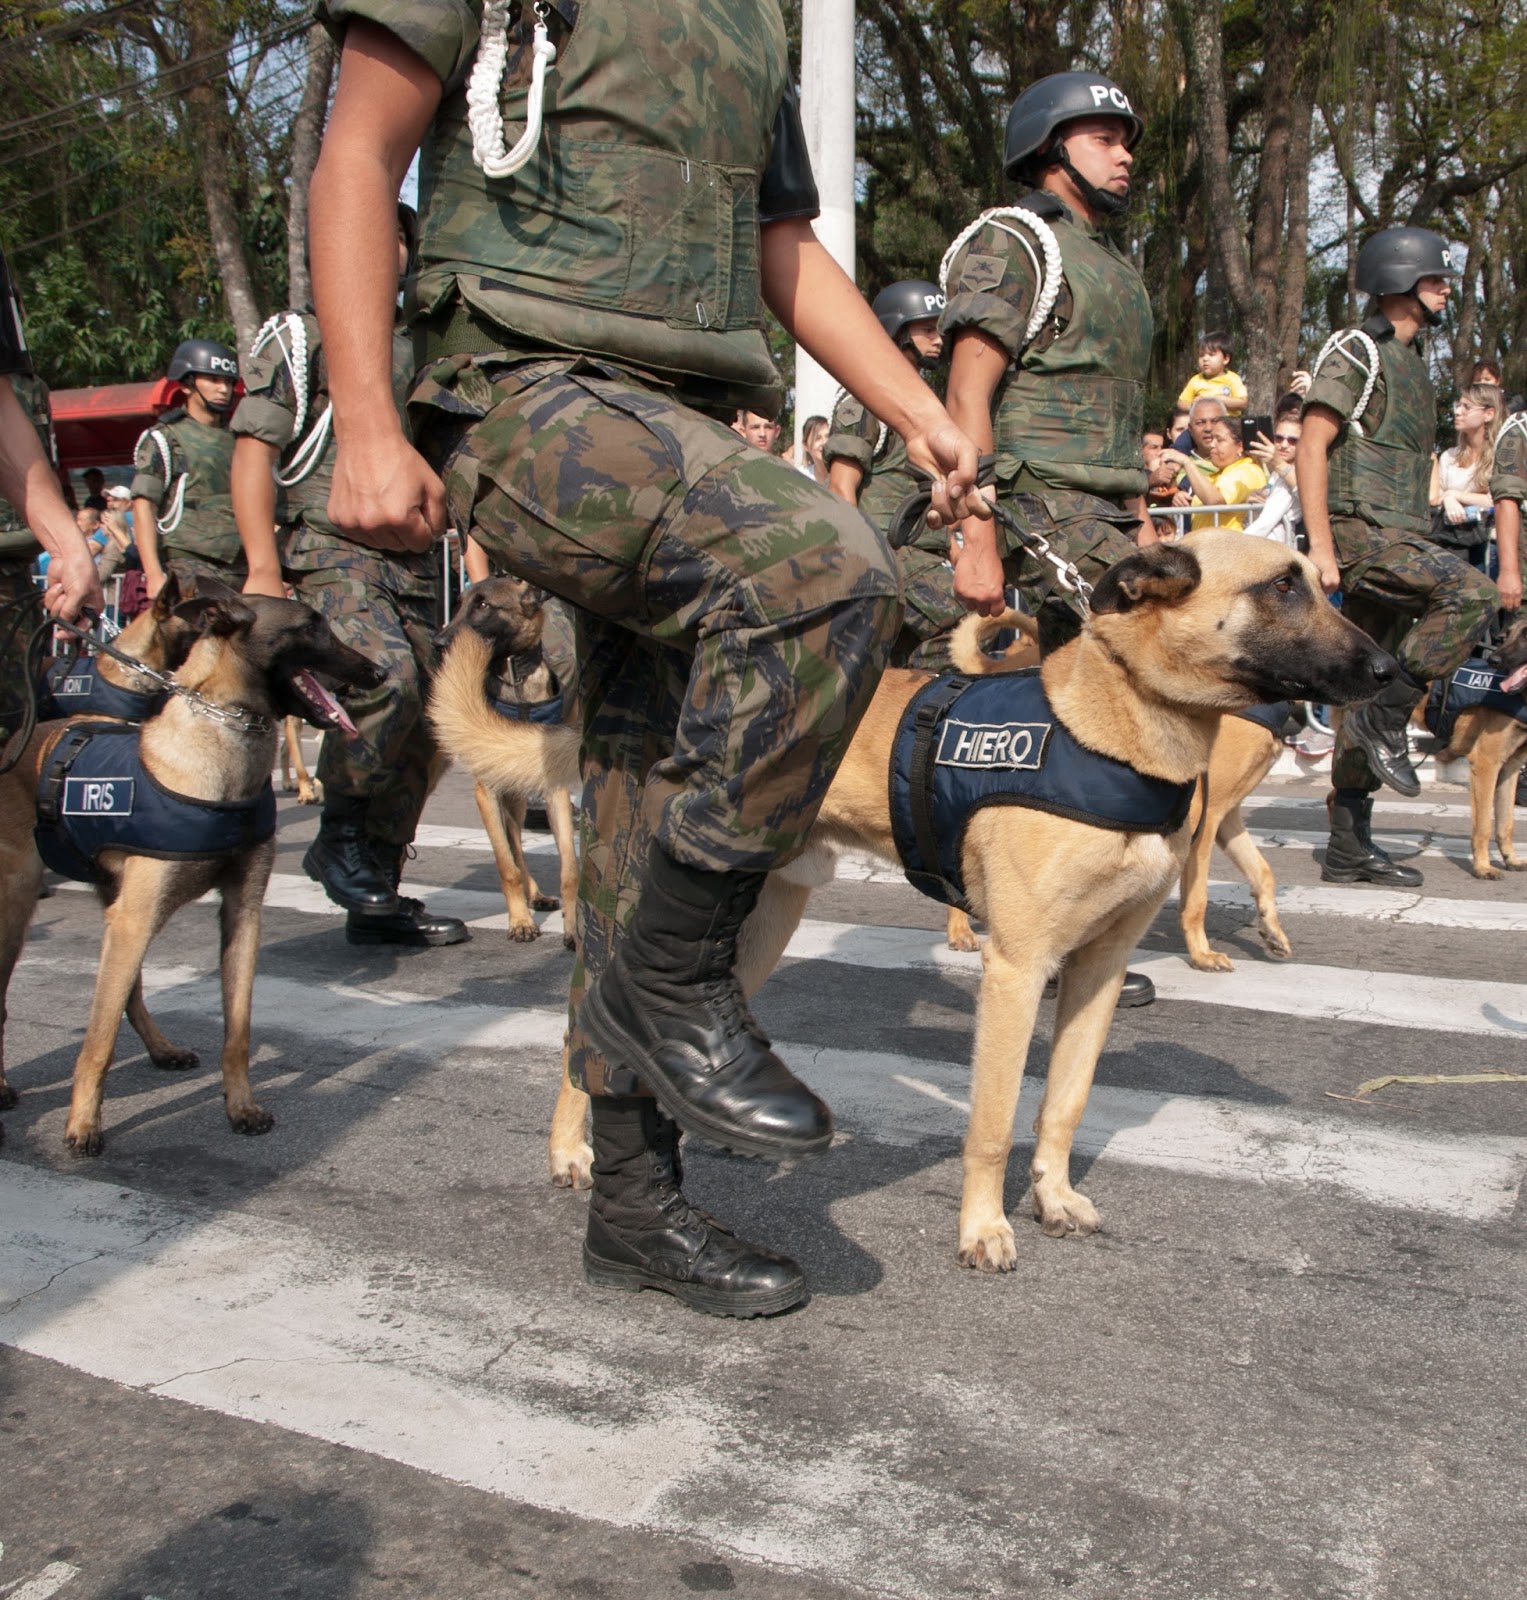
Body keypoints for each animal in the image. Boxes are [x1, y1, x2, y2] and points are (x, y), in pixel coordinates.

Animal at [0, 583, 382, 1154]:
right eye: (310, 627)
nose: (379, 672)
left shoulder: (240, 914)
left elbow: (237, 1030)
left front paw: (240, 1106)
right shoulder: (134, 919)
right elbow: (98, 1040)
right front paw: (83, 1123)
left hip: (116, 907)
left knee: (131, 992)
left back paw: (162, 1049)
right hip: (20, 911)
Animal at [431, 576, 580, 947]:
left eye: (483, 605)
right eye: (458, 603)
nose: (437, 644)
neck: (514, 678)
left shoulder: (555, 789)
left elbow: (569, 868)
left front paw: (572, 925)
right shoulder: (485, 793)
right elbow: (506, 864)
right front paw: (519, 920)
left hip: (518, 795)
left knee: (518, 841)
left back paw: (536, 894)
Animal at [1427, 617, 1527, 878]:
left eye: (1526, 635)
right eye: (1505, 637)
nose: (1494, 661)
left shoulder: (1510, 768)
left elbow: (1506, 823)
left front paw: (1511, 859)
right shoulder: (1486, 764)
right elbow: (1483, 825)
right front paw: (1482, 866)